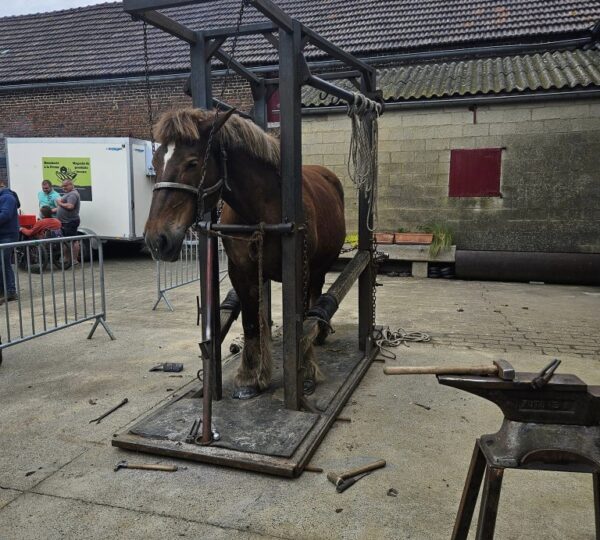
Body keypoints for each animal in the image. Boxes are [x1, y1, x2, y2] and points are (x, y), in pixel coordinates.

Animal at [142, 107, 344, 398]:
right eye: (156, 162)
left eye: (192, 163)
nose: (157, 239)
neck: (262, 210)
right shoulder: (242, 272)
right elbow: (250, 323)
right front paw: (251, 376)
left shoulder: (300, 271)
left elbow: (301, 320)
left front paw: (306, 371)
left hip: (318, 268)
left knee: (315, 299)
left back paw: (318, 336)